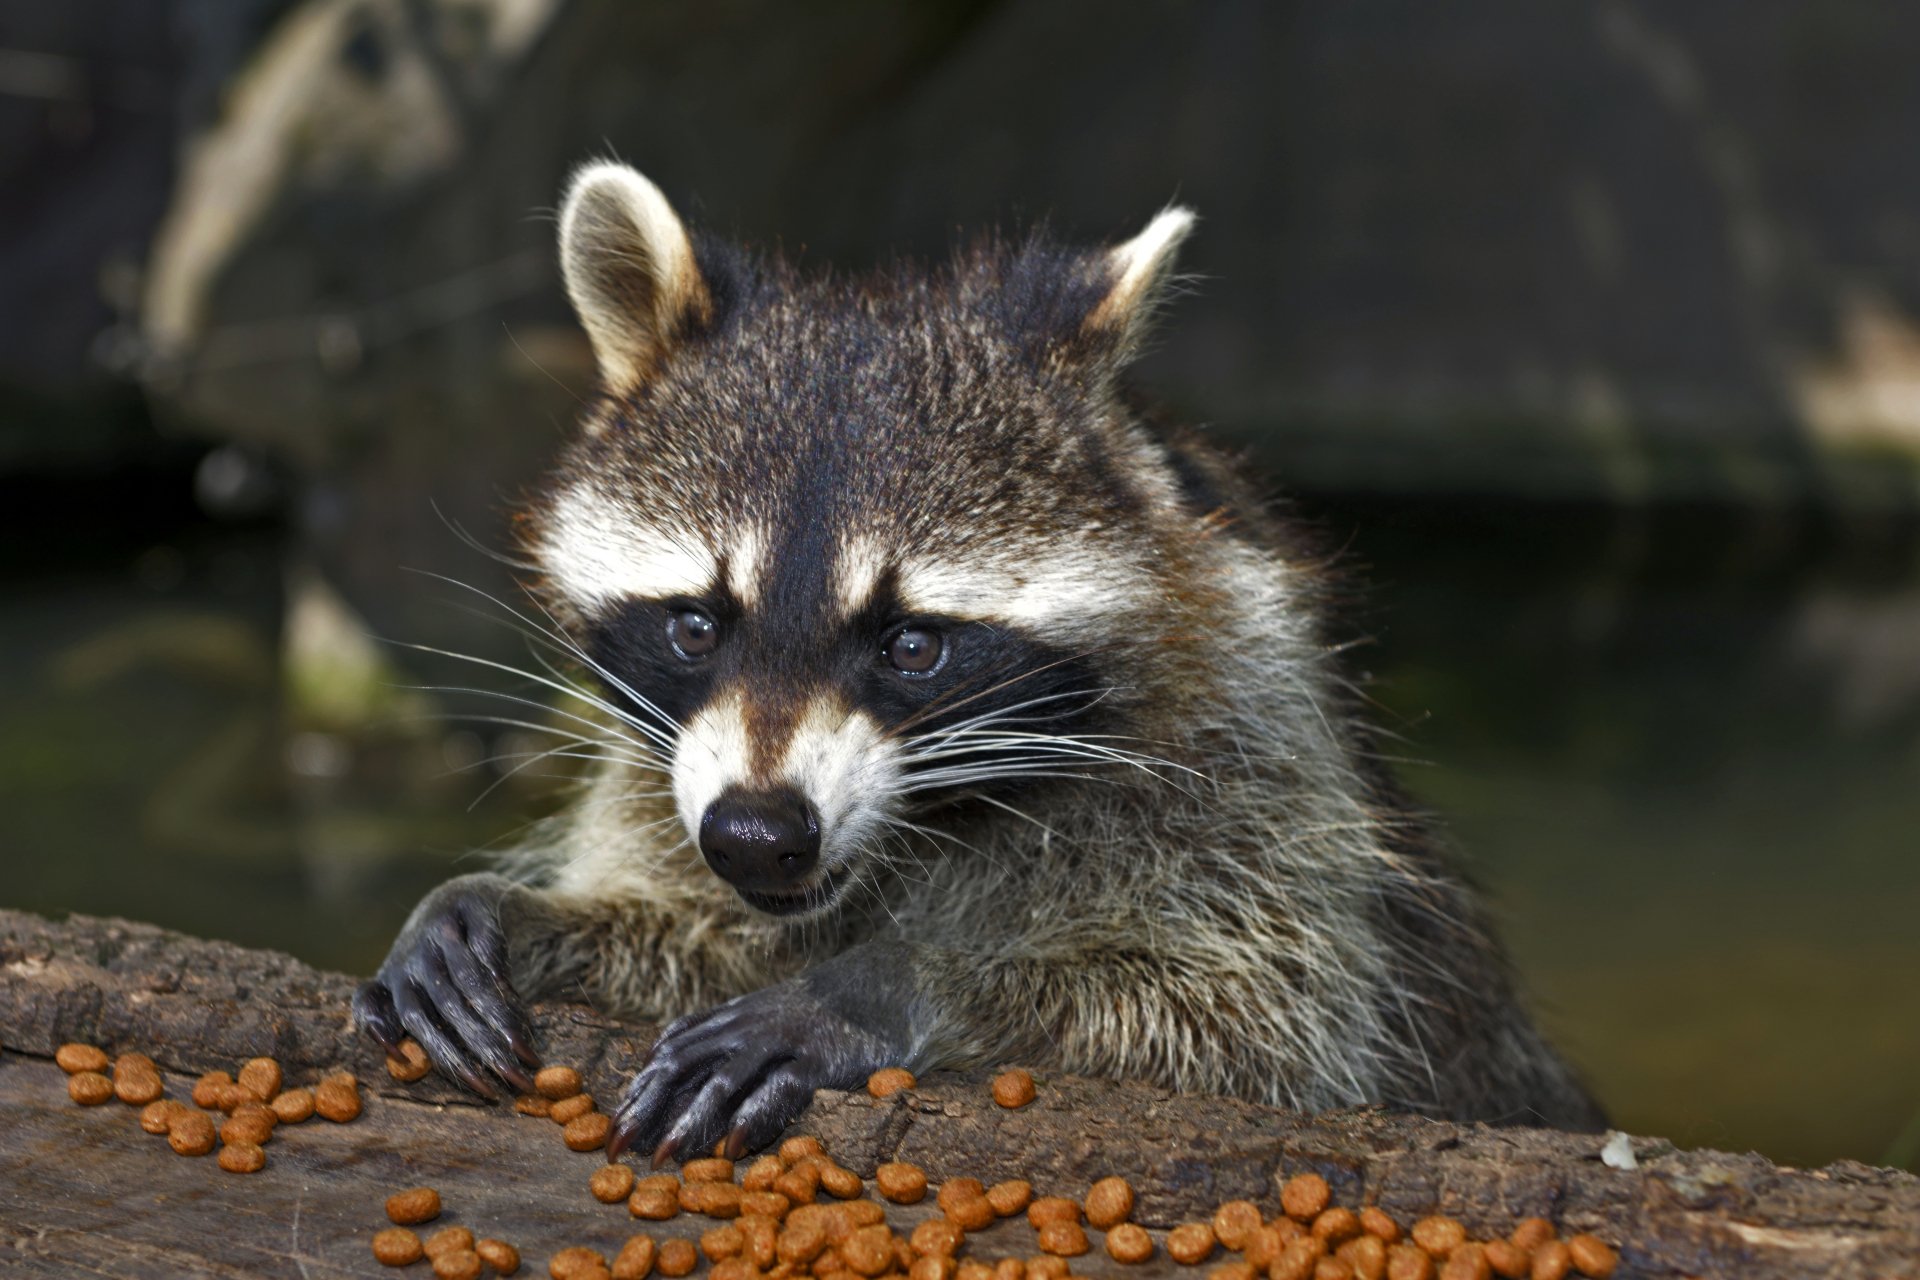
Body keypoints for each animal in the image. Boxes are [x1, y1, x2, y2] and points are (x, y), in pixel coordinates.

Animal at [352, 161, 1605, 1161]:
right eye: (696, 625)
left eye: (913, 642)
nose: (758, 832)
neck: (924, 822)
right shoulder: (666, 782)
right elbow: (694, 918)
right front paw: (512, 908)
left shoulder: (1252, 748)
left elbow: (1253, 1023)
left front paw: (890, 981)